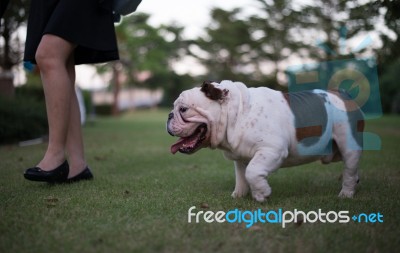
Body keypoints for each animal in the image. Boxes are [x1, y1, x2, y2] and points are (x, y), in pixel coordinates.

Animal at [166, 80, 362, 203]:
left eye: (183, 109)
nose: (169, 115)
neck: (236, 113)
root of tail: (344, 95)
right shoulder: (240, 157)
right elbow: (242, 177)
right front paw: (239, 195)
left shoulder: (272, 151)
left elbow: (252, 172)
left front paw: (262, 194)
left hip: (349, 146)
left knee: (350, 168)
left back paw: (346, 194)